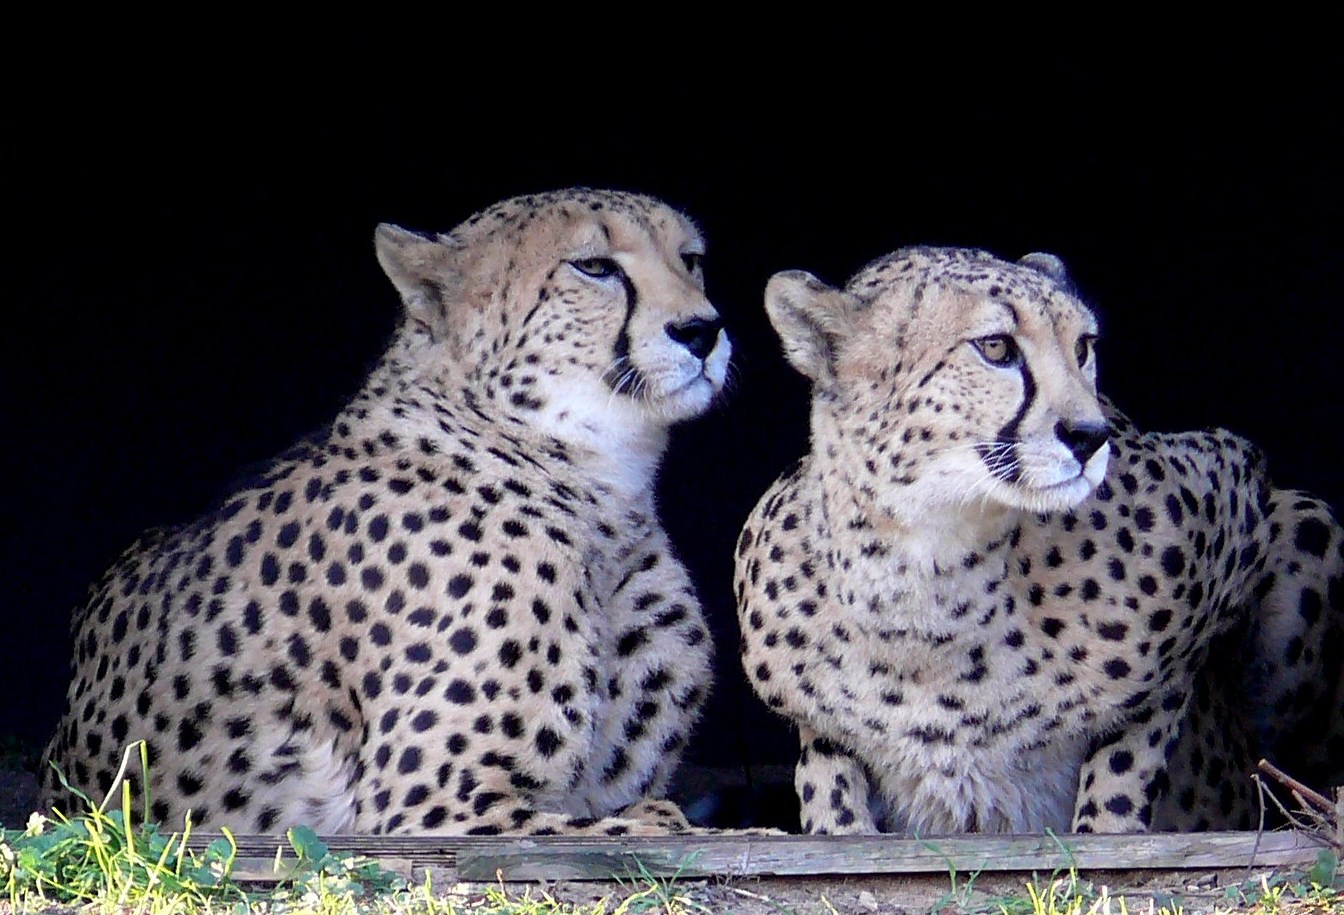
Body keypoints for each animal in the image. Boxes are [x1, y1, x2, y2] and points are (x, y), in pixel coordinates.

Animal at [42, 186, 731, 833]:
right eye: (594, 266)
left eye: (691, 259)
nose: (703, 330)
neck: (602, 489)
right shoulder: (433, 806)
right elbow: (654, 824)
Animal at [736, 245, 1344, 833]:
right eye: (996, 347)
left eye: (1083, 347)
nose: (1090, 436)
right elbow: (829, 783)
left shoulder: (1227, 483)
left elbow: (1124, 763)